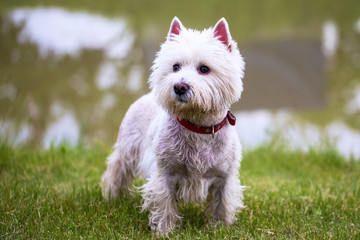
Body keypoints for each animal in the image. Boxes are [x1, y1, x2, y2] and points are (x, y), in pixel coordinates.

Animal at [102, 16, 246, 234]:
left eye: (204, 68)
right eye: (175, 67)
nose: (179, 87)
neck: (198, 126)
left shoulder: (225, 177)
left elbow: (221, 205)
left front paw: (219, 228)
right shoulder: (165, 174)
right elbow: (165, 203)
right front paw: (165, 231)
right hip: (127, 147)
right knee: (117, 170)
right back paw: (112, 197)